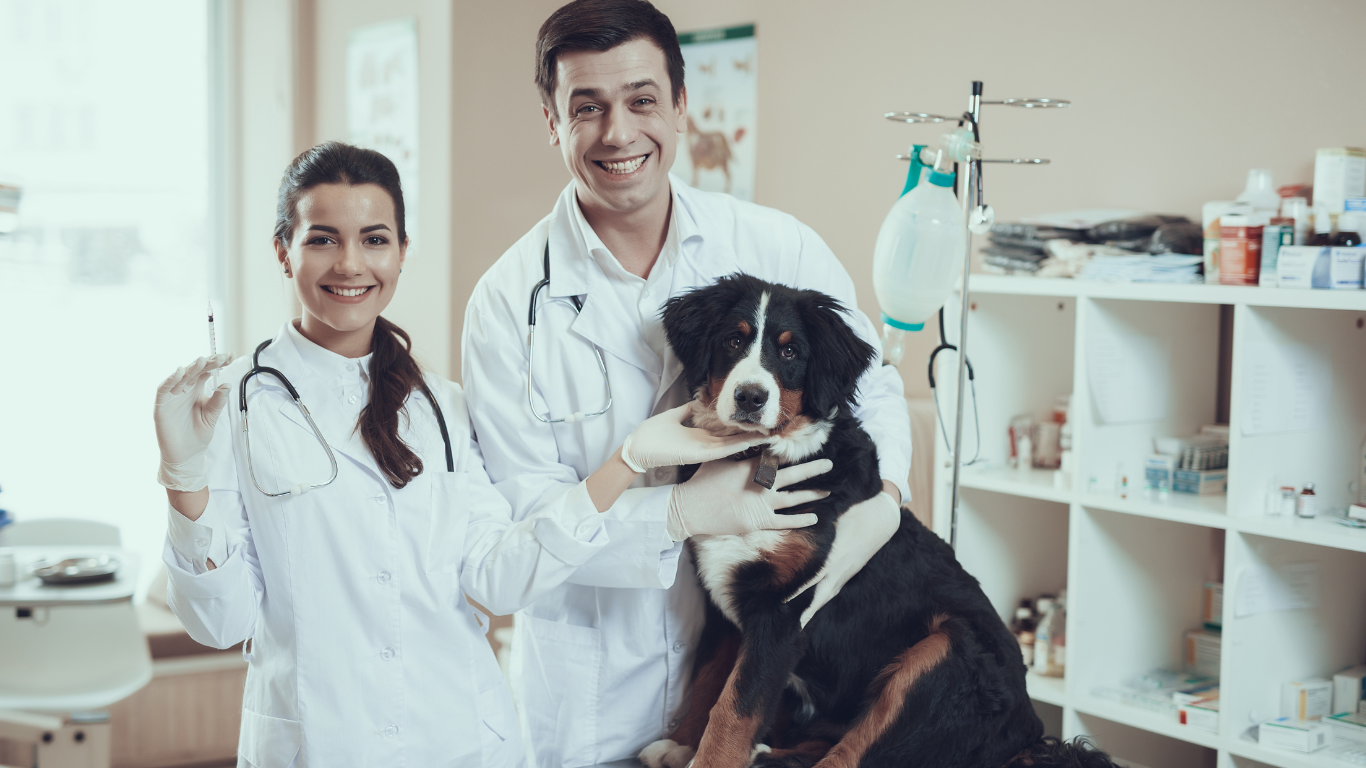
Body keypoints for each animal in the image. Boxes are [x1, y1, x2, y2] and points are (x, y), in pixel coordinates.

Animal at [633, 273, 1114, 765]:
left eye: (790, 352)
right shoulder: (724, 597)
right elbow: (709, 681)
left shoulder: (783, 609)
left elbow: (735, 707)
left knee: (849, 755)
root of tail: (1028, 735)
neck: (761, 461)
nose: (750, 396)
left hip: (946, 649)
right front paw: (681, 745)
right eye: (733, 340)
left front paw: (706, 755)